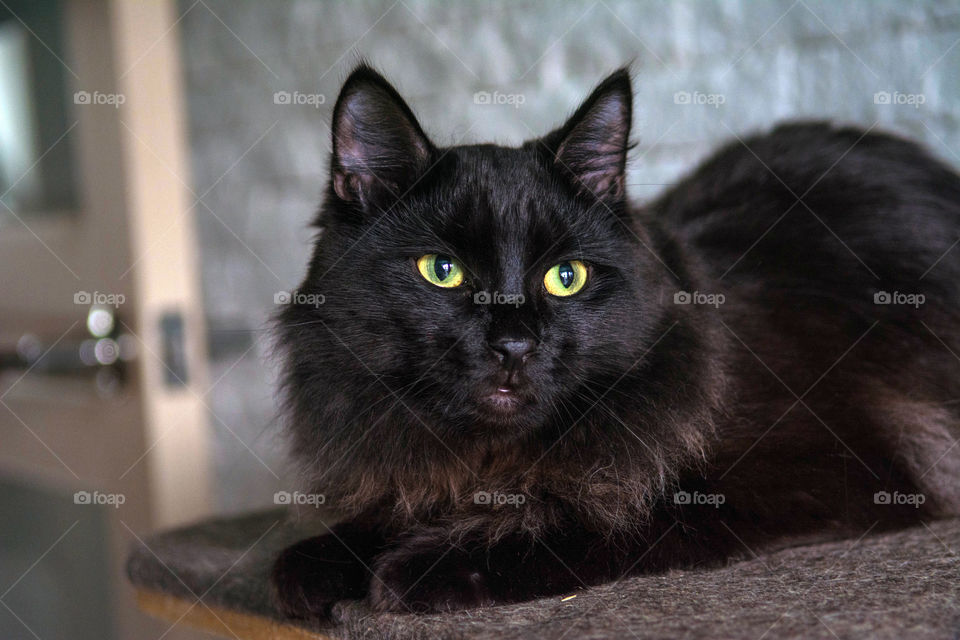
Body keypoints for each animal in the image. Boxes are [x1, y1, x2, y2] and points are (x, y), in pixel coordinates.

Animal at [268, 62, 960, 616]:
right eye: (442, 271)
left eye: (566, 277)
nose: (514, 345)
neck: (491, 458)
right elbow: (370, 524)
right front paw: (321, 562)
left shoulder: (813, 472)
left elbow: (590, 514)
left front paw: (420, 566)